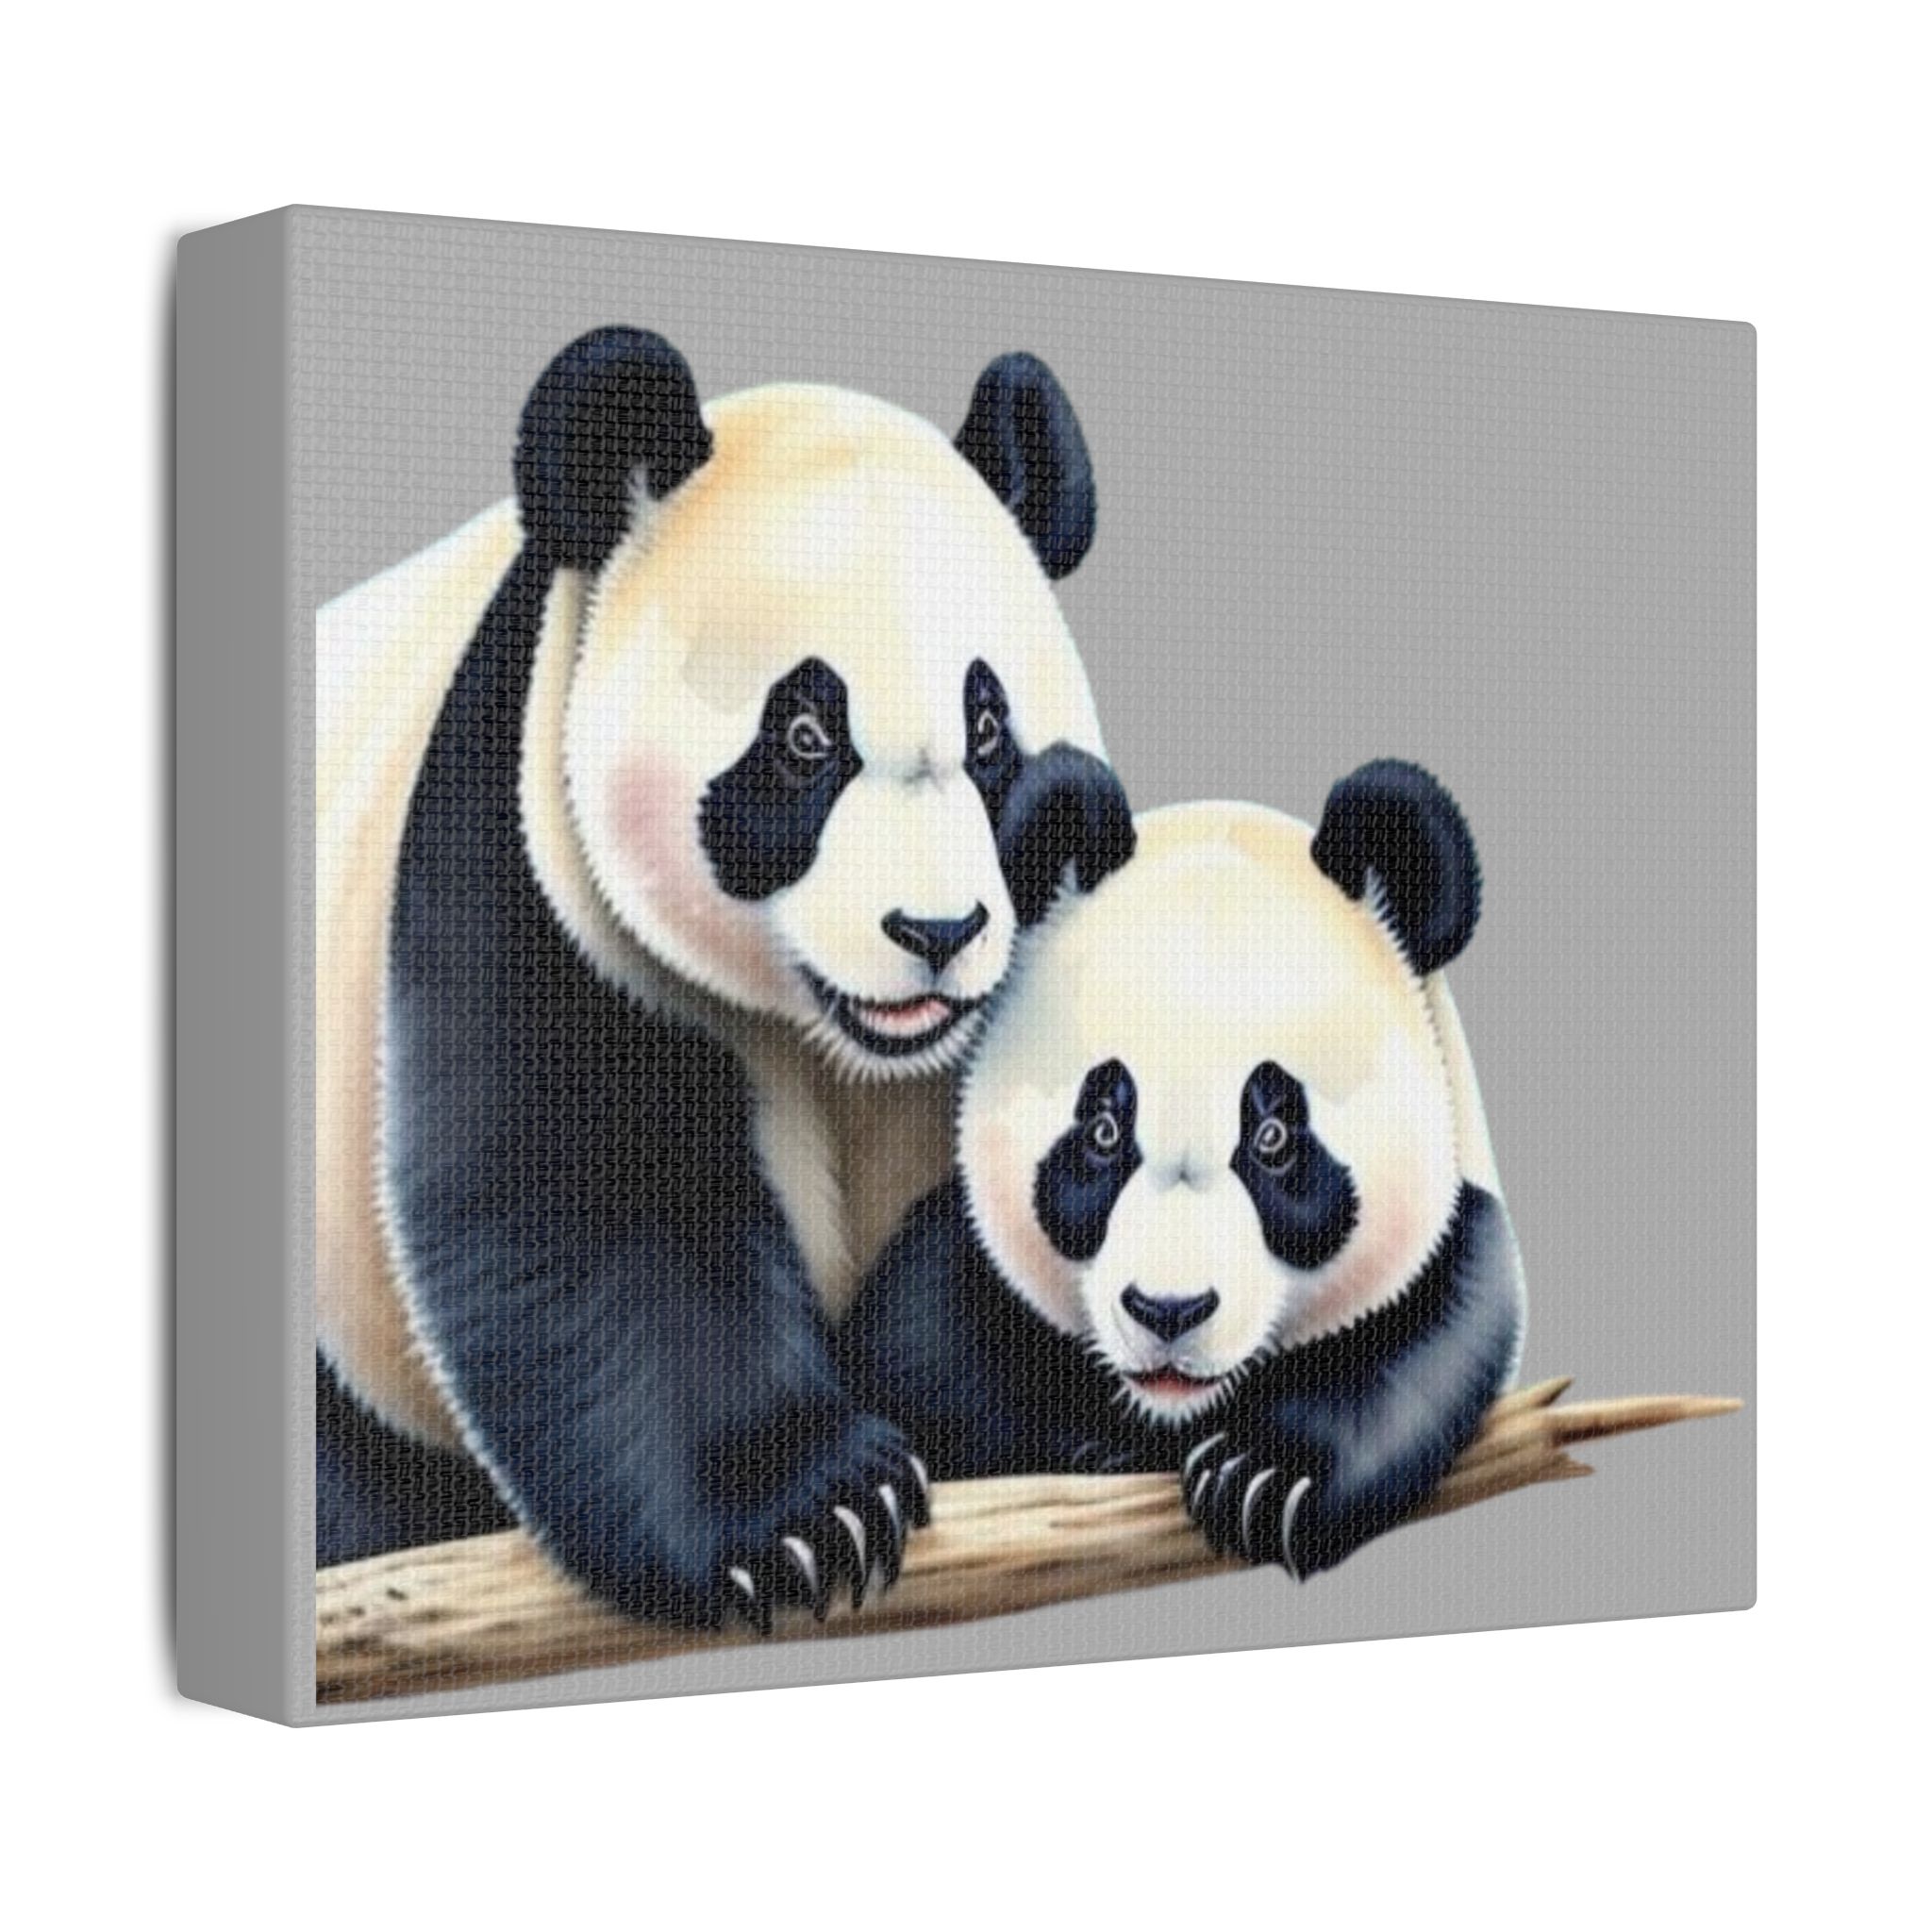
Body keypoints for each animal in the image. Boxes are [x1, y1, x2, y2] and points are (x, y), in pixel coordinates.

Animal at [315, 327, 1135, 1629]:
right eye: (803, 738)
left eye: (987, 730)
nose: (936, 929)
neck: (845, 1042)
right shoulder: (527, 857)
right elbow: (595, 1206)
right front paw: (812, 1513)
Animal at [839, 766, 1527, 1578]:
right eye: (1103, 1132)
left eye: (1272, 1137)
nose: (1168, 1311)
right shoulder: (952, 1279)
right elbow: (920, 1353)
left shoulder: (1453, 1245)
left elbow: (1429, 1348)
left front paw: (1264, 1479)